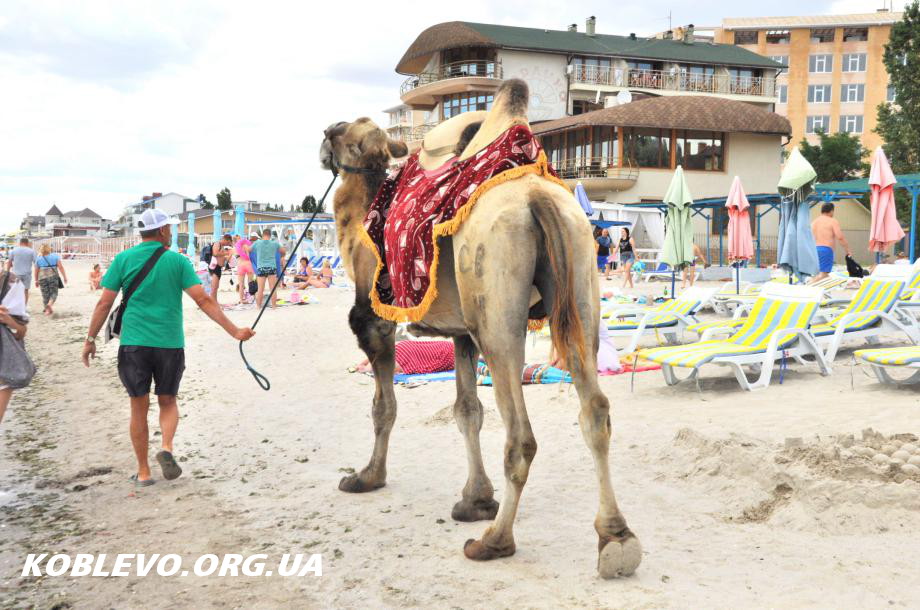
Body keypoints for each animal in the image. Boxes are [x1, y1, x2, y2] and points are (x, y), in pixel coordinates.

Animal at [318, 80, 641, 578]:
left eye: (340, 133)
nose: (323, 139)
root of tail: (537, 199)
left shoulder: (375, 321)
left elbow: (383, 406)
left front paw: (367, 476)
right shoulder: (462, 332)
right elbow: (467, 410)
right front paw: (475, 499)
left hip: (498, 314)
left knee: (521, 436)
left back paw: (494, 541)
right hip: (580, 288)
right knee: (596, 413)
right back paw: (616, 538)